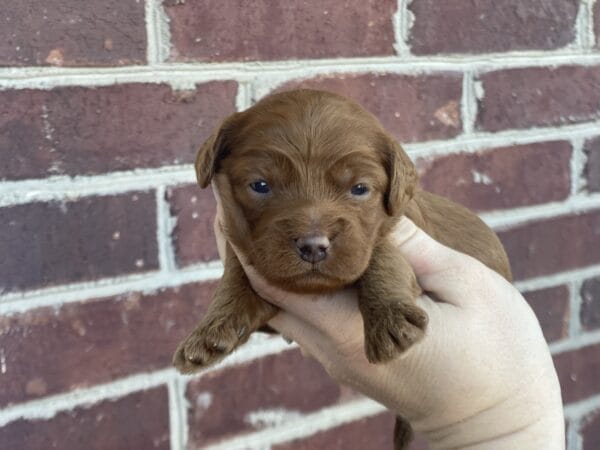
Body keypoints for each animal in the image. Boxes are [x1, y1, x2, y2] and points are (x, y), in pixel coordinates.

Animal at [172, 89, 510, 450]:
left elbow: (380, 254)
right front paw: (210, 331)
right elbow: (239, 273)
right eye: (260, 185)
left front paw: (390, 321)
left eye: (359, 189)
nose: (313, 246)